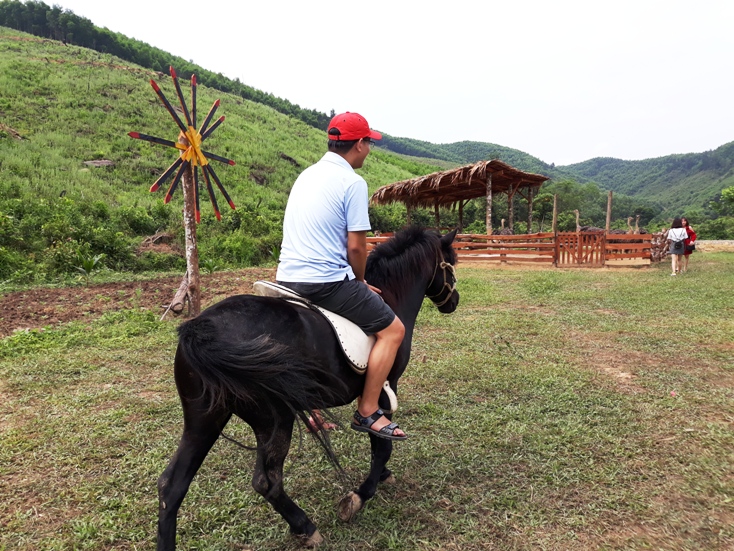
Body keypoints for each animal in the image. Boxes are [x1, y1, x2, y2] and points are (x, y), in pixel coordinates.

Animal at [159, 226, 462, 548]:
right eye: (452, 261)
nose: (453, 301)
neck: (390, 294)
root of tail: (202, 328)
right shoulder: (386, 388)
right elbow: (382, 445)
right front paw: (360, 495)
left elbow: (378, 447)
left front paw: (380, 477)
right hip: (273, 419)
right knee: (267, 481)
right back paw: (305, 526)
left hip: (204, 418)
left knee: (171, 486)